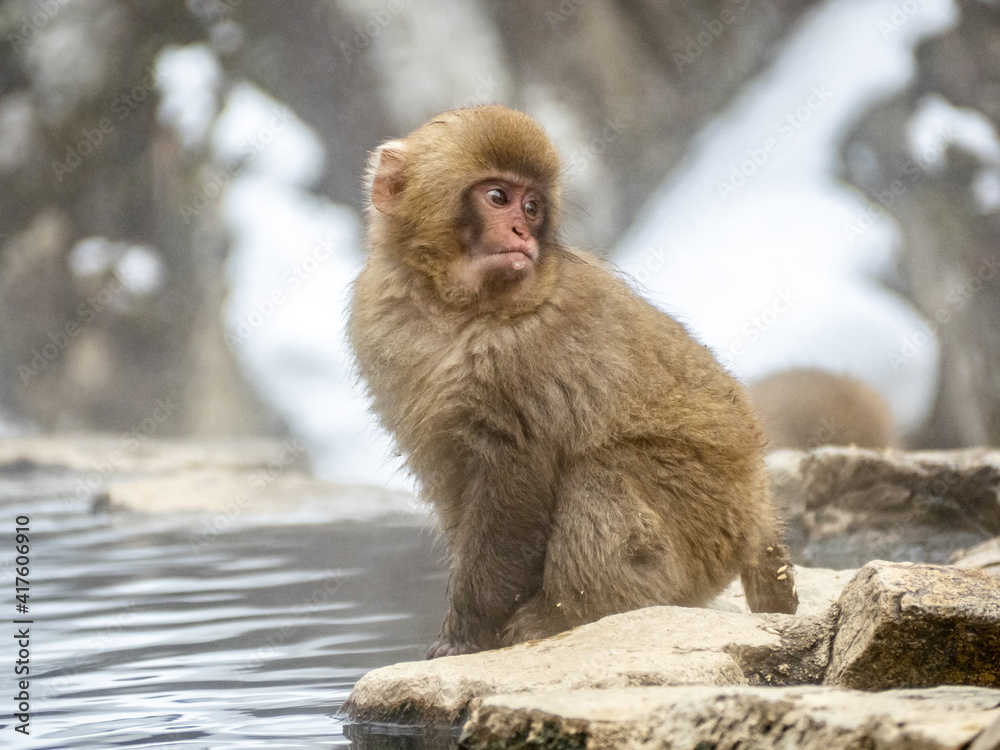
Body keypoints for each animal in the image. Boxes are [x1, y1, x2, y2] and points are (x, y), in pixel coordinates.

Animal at [347, 105, 797, 658]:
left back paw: (569, 614)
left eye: (533, 207)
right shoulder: (378, 325)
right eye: (498, 198)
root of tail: (757, 506)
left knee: (600, 474)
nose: (521, 230)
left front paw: (465, 633)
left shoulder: (524, 360)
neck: (455, 307)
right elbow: (453, 479)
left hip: (708, 523)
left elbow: (514, 486)